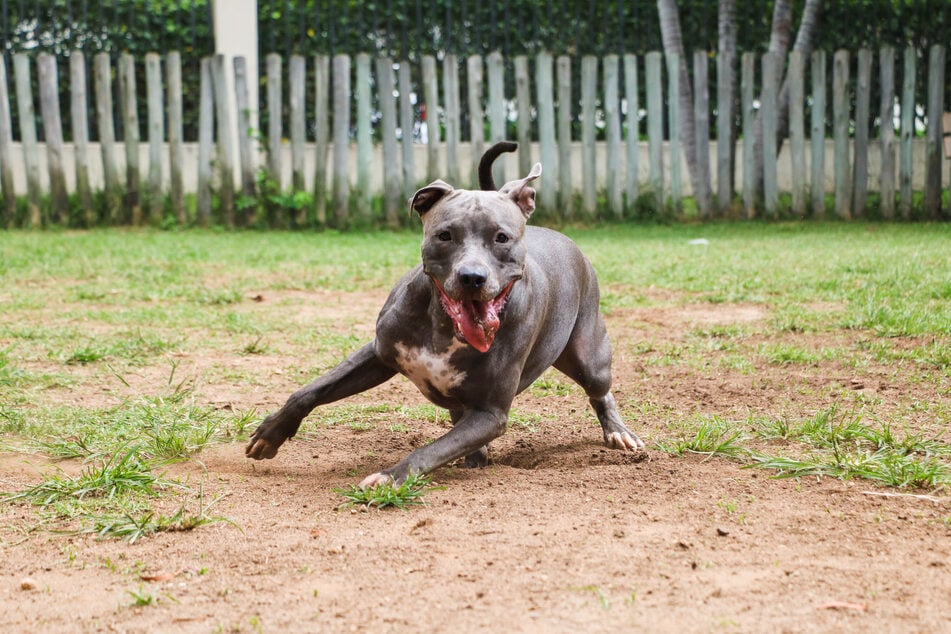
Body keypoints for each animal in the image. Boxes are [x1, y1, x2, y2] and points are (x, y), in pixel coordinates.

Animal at [245, 141, 648, 484]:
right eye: (444, 235)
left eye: (501, 238)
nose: (472, 277)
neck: (443, 326)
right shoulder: (378, 355)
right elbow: (310, 390)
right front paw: (270, 434)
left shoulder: (490, 414)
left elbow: (431, 450)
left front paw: (391, 477)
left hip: (588, 355)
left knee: (600, 390)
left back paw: (618, 432)